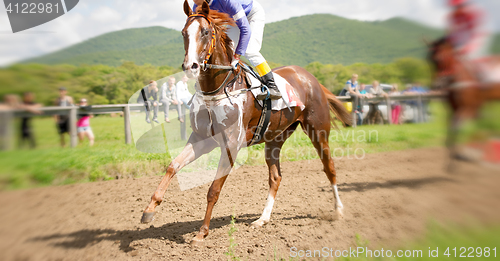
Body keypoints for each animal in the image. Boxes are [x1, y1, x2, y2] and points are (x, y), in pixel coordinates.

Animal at [141, 1, 350, 244]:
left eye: (205, 32)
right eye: (184, 33)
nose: (190, 66)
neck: (219, 87)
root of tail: (311, 78)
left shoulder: (232, 144)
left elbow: (213, 190)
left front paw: (202, 232)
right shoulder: (202, 139)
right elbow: (173, 166)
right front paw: (149, 209)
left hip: (318, 132)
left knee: (329, 168)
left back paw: (338, 210)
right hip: (274, 139)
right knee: (275, 177)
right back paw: (262, 219)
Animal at [428, 38, 500, 169]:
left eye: (440, 59)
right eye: (430, 59)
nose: (437, 85)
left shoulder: (468, 109)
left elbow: (457, 128)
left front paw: (454, 161)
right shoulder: (456, 110)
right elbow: (452, 129)